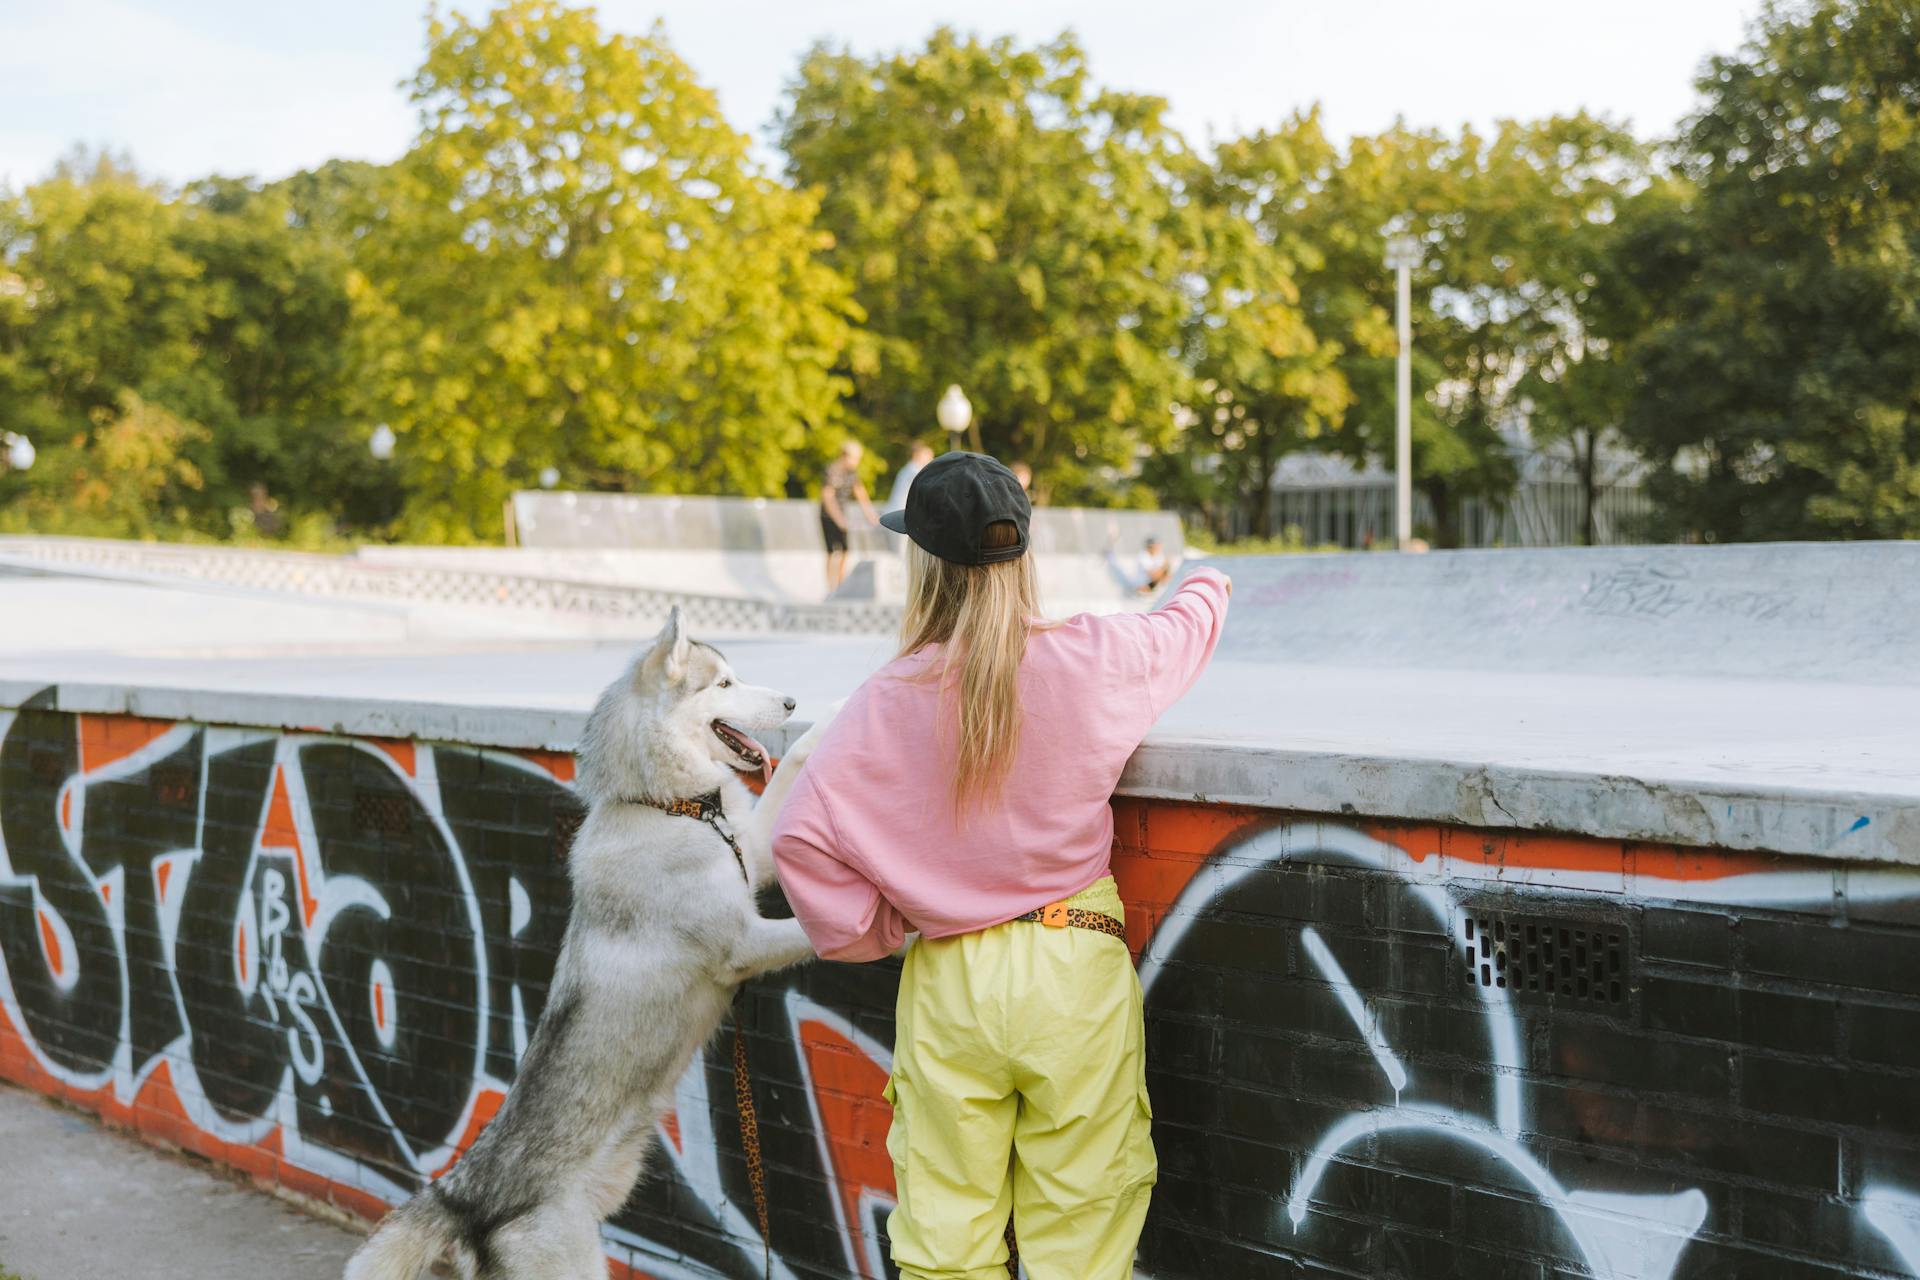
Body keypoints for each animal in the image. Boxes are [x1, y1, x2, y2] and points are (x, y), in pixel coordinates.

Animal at [349, 610, 829, 1280]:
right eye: (725, 683)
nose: (790, 702)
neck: (671, 807)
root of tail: (464, 1194)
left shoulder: (752, 857)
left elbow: (789, 771)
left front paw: (837, 711)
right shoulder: (743, 943)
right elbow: (808, 932)